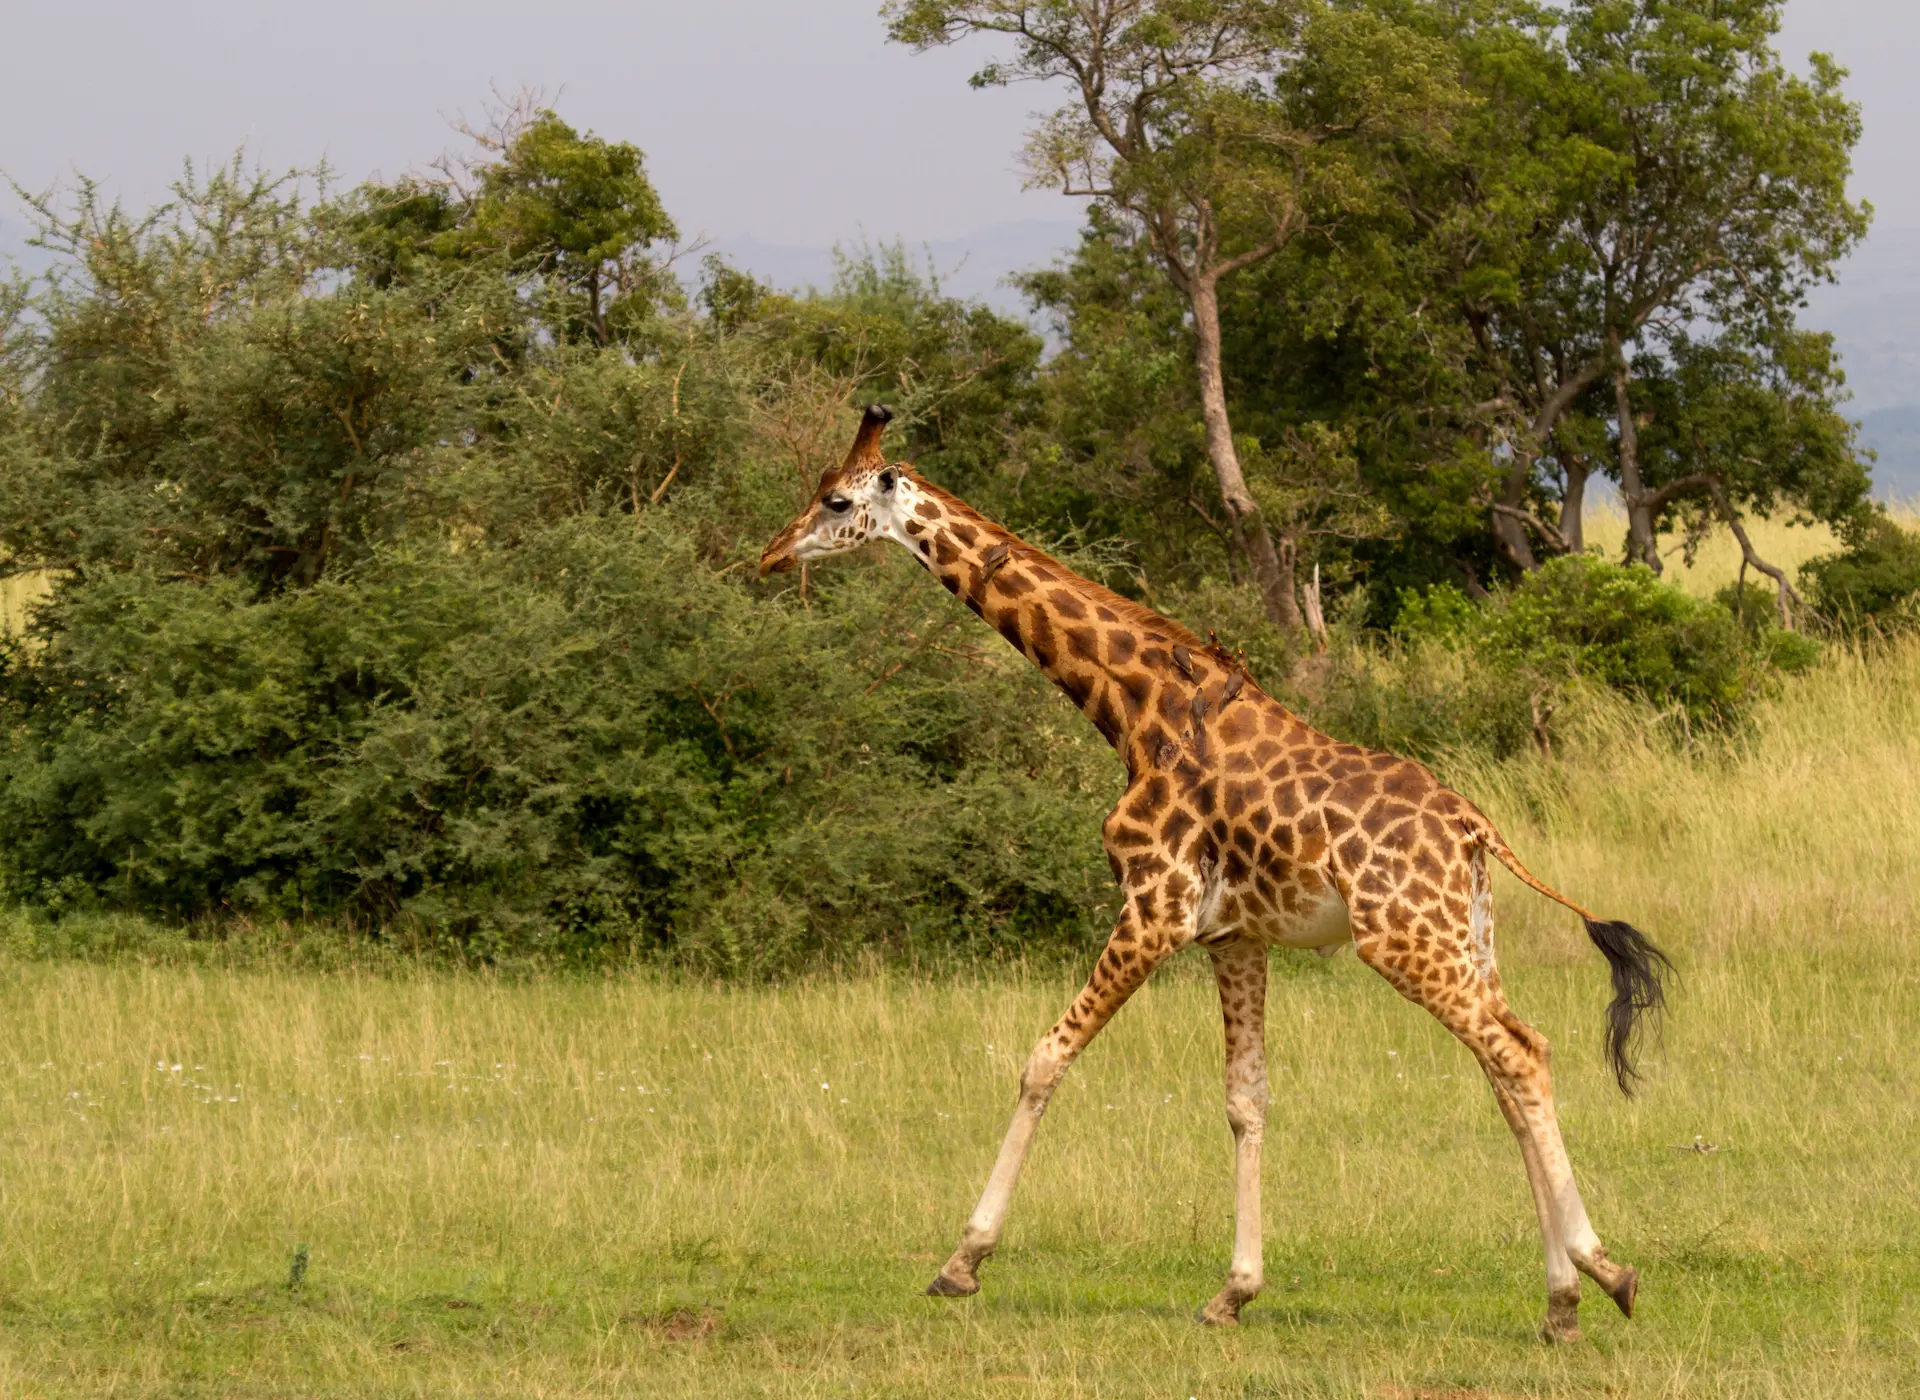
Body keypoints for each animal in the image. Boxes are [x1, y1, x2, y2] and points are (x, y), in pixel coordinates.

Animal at [759, 406, 1672, 1341]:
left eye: (837, 500)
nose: (772, 555)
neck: (1135, 709)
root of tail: (1473, 826)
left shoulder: (1153, 907)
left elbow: (1045, 1058)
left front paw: (962, 1261)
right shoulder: (1234, 936)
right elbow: (1246, 1098)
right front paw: (1234, 1290)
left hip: (1405, 941)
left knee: (1520, 1055)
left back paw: (1604, 1273)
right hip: (1464, 936)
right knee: (1511, 1067)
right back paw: (1561, 1301)